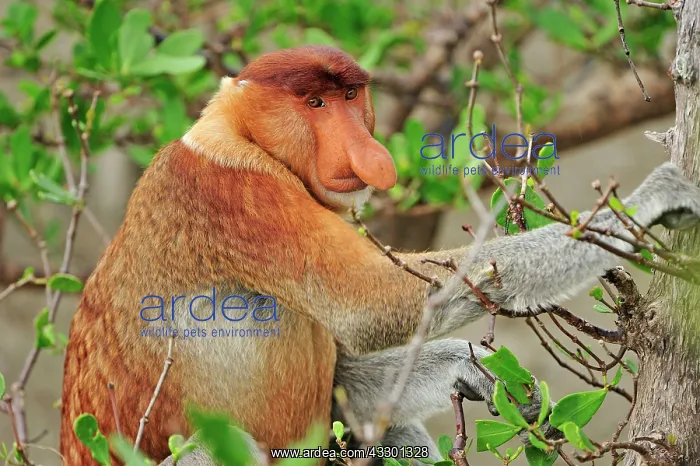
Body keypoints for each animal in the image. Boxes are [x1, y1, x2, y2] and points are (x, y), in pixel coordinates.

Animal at [58, 45, 700, 466]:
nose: (365, 150)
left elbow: (344, 381)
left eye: (349, 96)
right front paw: (650, 201)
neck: (239, 135)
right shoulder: (239, 193)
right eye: (313, 102)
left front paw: (475, 370)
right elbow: (369, 305)